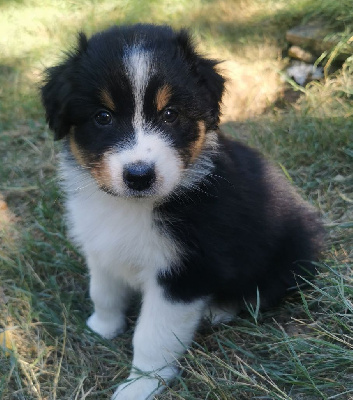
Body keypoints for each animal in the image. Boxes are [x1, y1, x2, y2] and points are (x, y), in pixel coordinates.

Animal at [40, 23, 322, 398]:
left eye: (170, 114)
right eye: (103, 117)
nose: (139, 175)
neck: (134, 207)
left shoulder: (184, 272)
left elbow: (153, 336)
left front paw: (141, 384)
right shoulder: (101, 247)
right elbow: (103, 292)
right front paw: (102, 327)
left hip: (287, 252)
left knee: (265, 290)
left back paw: (218, 310)